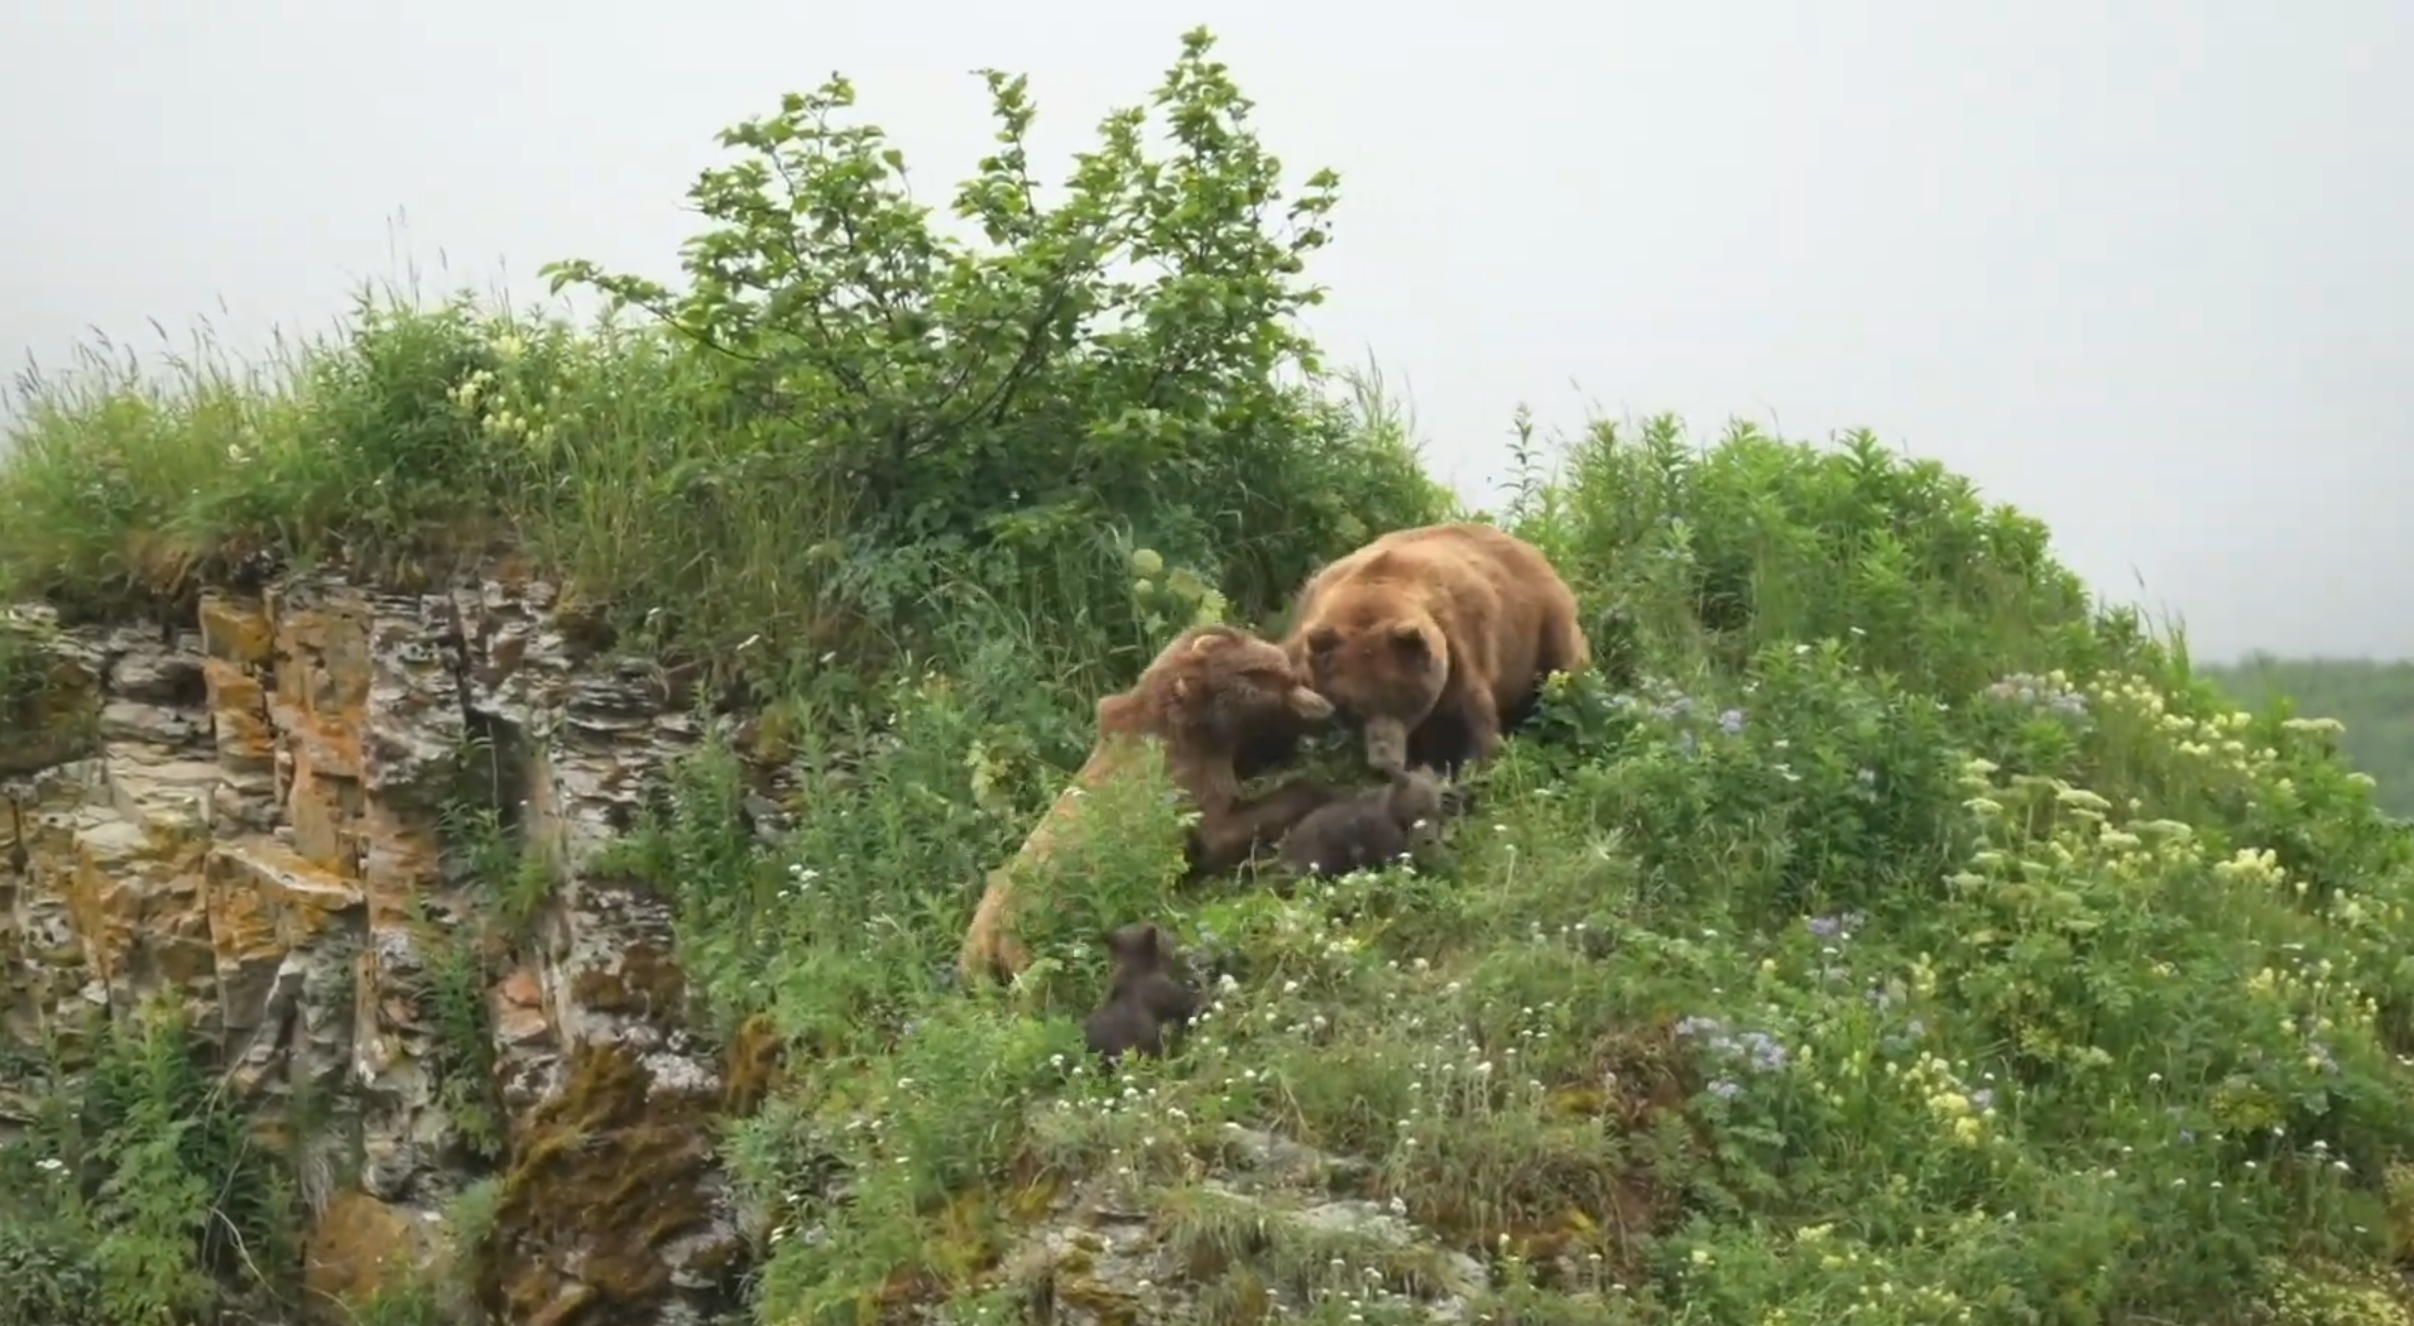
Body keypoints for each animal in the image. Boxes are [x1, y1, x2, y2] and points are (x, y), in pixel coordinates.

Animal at [1274, 519, 1593, 777]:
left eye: (1402, 699)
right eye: (1351, 708)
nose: (1385, 763)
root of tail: (1529, 547)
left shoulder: (1461, 645)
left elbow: (1473, 721)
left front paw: (1475, 767)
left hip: (1542, 622)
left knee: (1564, 678)